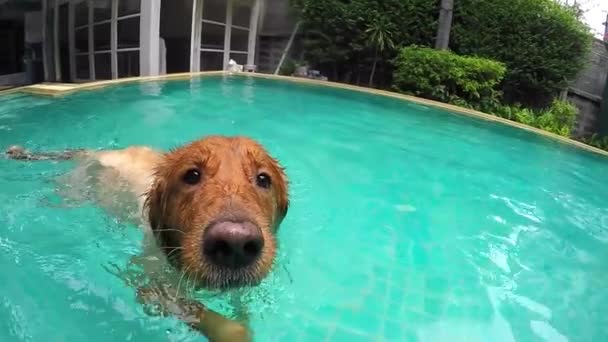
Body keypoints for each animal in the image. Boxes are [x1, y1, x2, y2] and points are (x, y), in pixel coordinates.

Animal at [4, 135, 290, 340]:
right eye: (191, 175)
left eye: (263, 179)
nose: (235, 243)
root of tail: (97, 153)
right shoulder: (150, 285)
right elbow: (224, 324)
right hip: (74, 190)